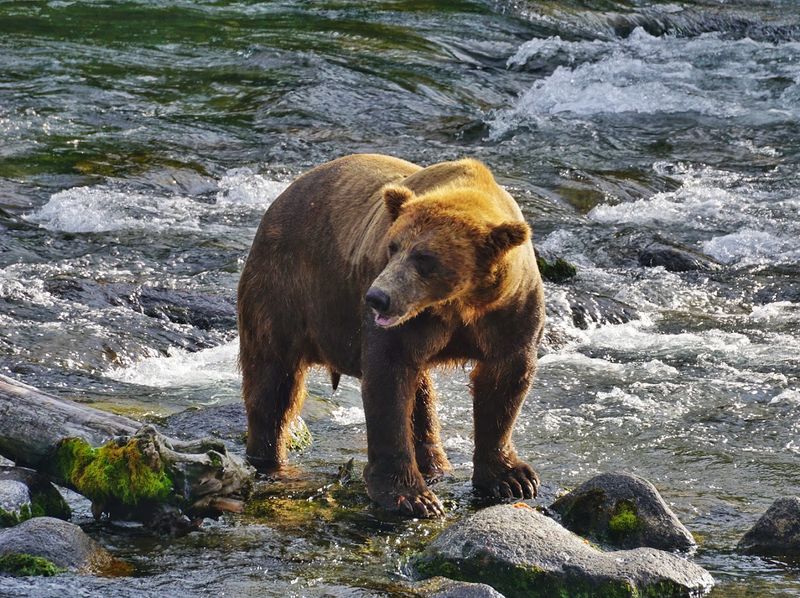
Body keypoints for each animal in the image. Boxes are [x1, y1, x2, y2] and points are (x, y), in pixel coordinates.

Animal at [238, 154, 545, 518]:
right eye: (393, 246)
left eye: (425, 258)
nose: (377, 297)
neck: (457, 304)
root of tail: (279, 200)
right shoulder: (401, 326)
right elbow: (388, 382)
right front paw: (411, 496)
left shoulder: (509, 311)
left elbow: (505, 380)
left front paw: (513, 478)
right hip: (283, 291)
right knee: (273, 380)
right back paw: (268, 461)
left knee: (421, 395)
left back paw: (435, 464)